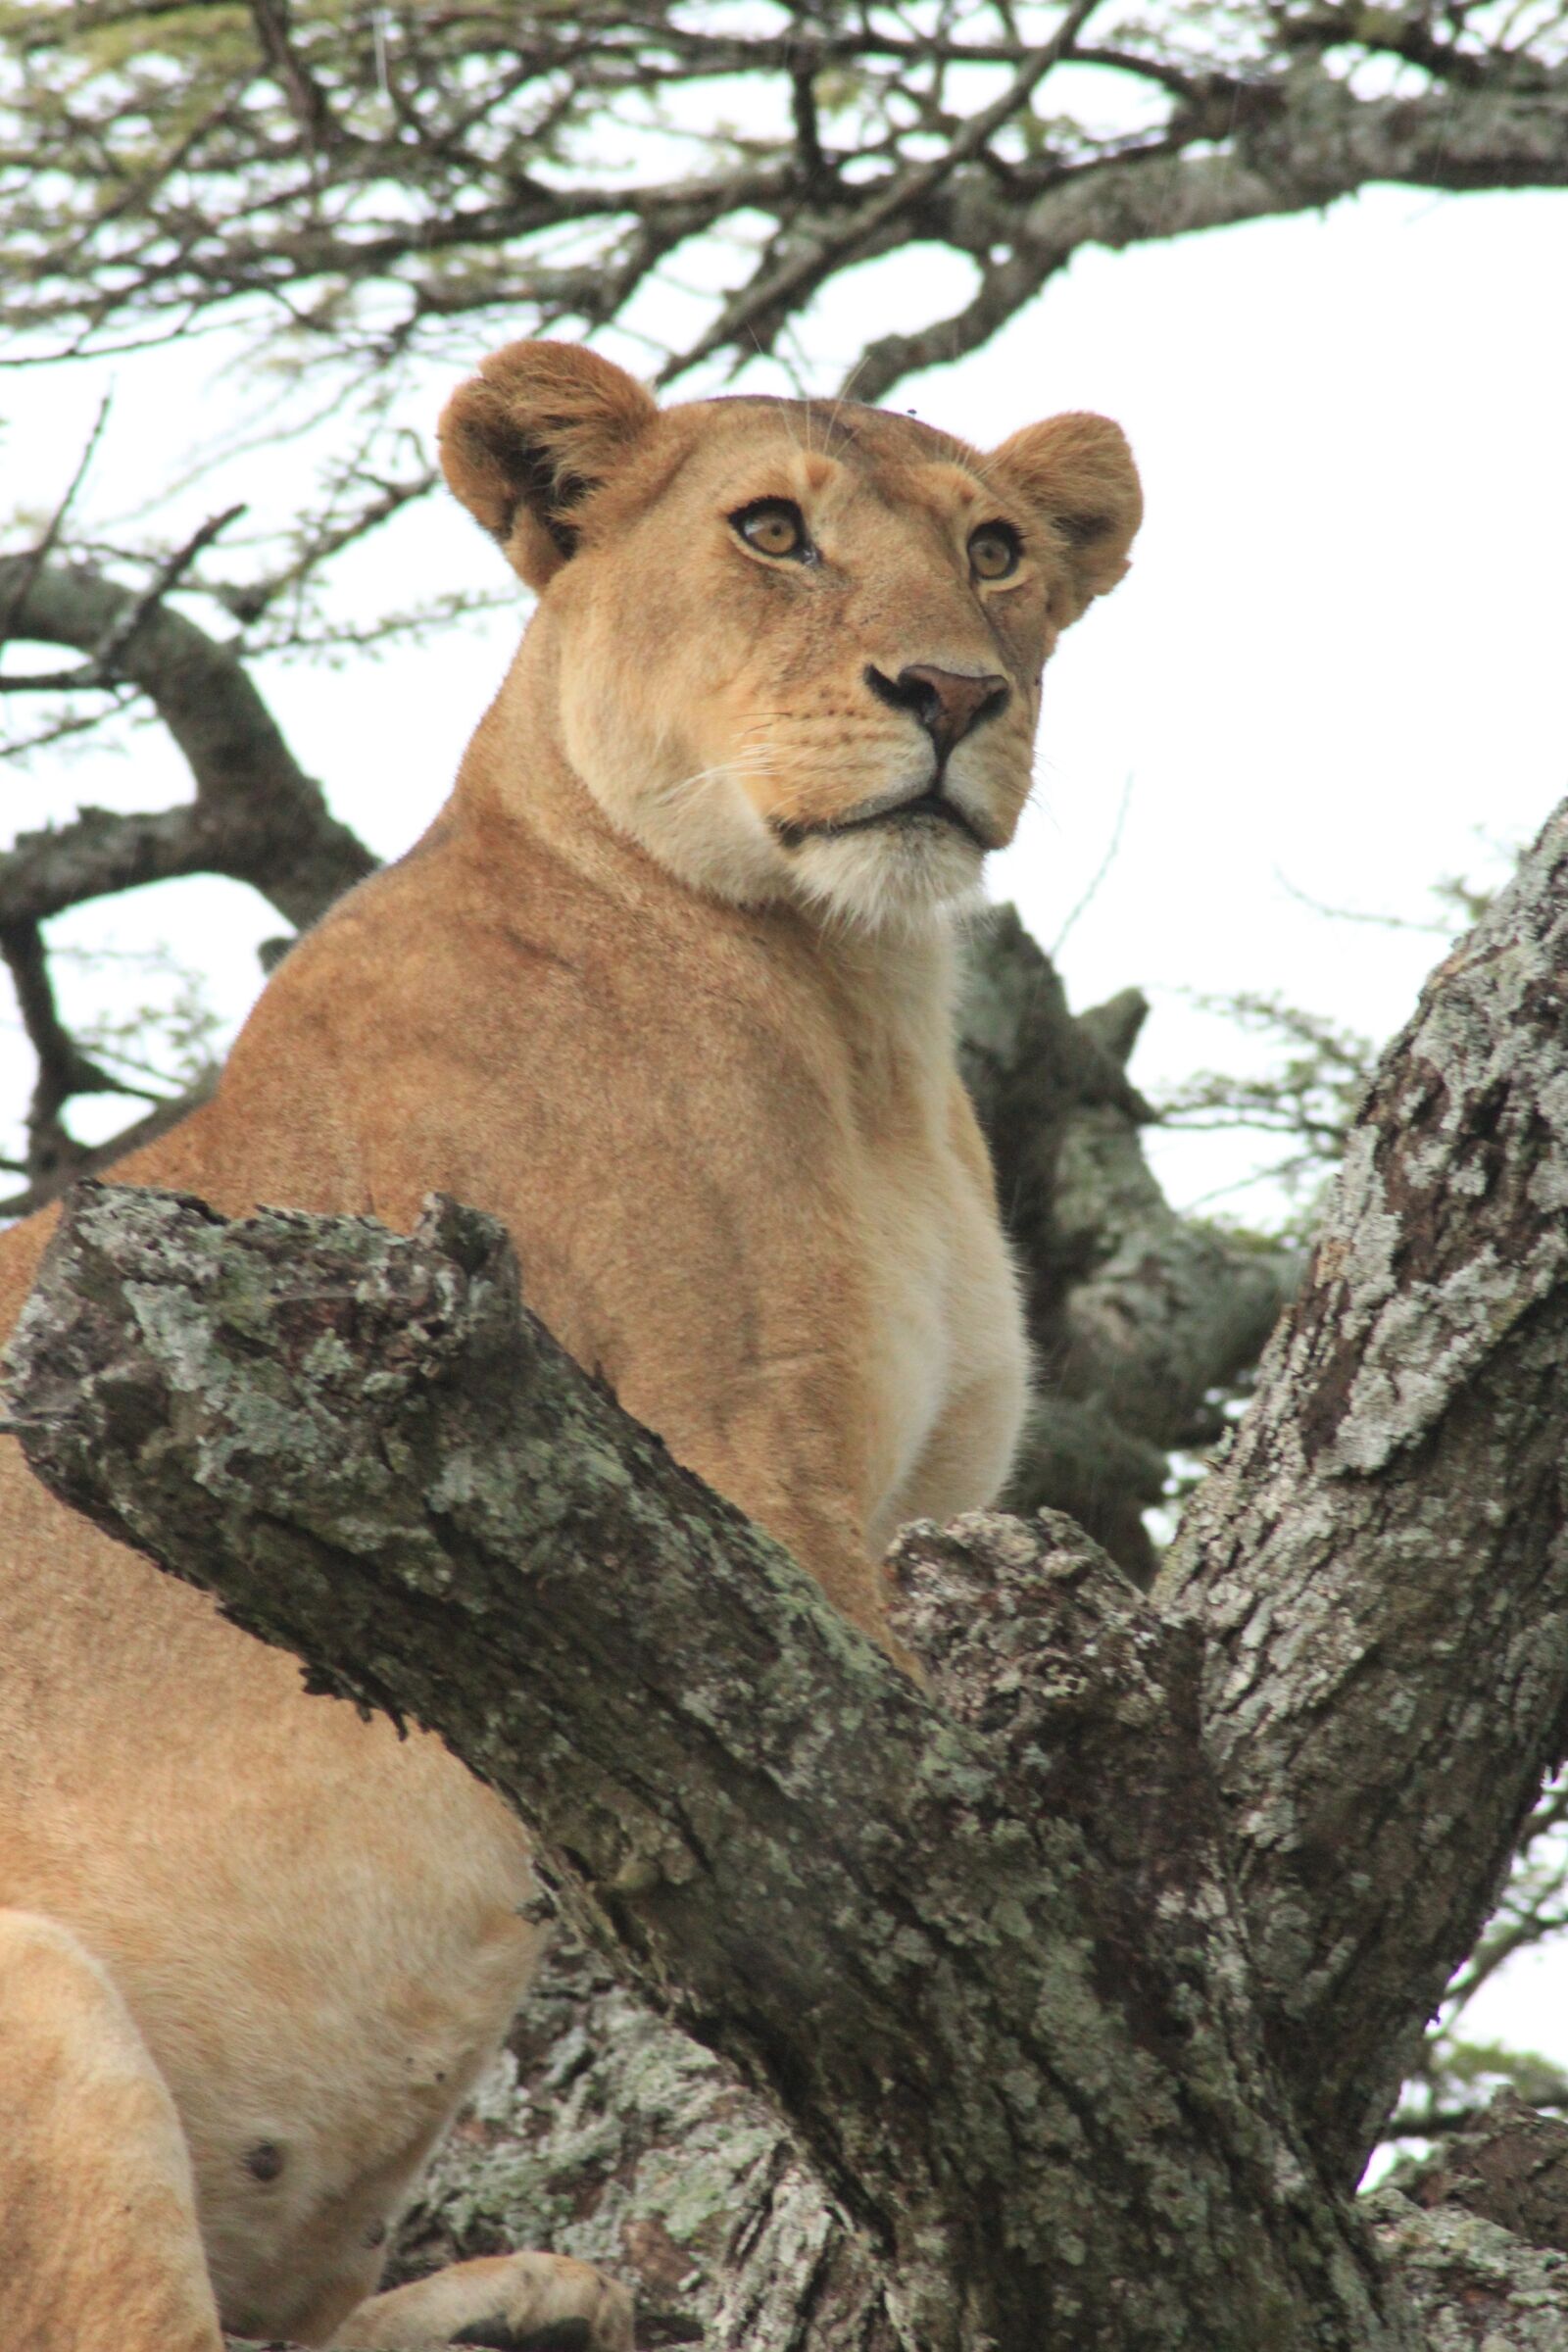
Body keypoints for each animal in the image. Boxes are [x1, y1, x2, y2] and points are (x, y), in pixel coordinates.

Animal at [0, 341, 1141, 2349]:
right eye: (772, 532)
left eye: (996, 551)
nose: (952, 692)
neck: (859, 1012)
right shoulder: (742, 1471)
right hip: (40, 1998)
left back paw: (515, 2299)